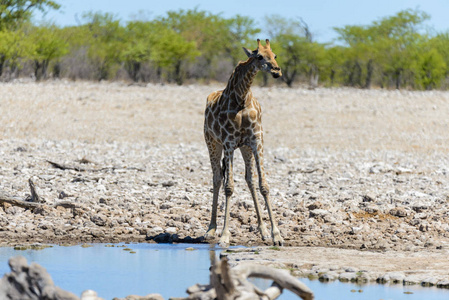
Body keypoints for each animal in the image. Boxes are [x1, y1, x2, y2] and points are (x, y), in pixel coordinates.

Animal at [204, 38, 282, 247]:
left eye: (275, 55)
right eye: (259, 56)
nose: (277, 71)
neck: (241, 98)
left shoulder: (256, 141)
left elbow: (264, 185)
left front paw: (275, 234)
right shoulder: (229, 142)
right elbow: (229, 187)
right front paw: (224, 236)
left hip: (245, 148)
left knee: (249, 180)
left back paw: (263, 230)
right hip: (212, 143)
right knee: (217, 178)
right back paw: (211, 229)